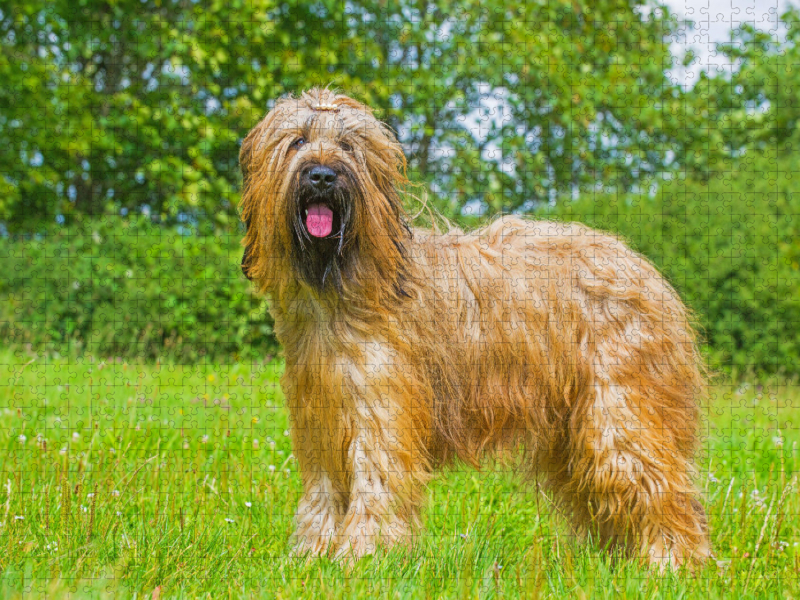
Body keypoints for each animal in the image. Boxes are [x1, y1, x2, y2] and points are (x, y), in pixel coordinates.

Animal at [238, 88, 712, 568]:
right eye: (297, 142)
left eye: (348, 146)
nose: (322, 176)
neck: (339, 285)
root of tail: (646, 271)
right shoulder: (318, 413)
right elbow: (322, 490)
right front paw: (311, 554)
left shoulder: (382, 406)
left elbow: (377, 479)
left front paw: (361, 555)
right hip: (573, 431)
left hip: (621, 410)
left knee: (662, 487)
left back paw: (671, 562)